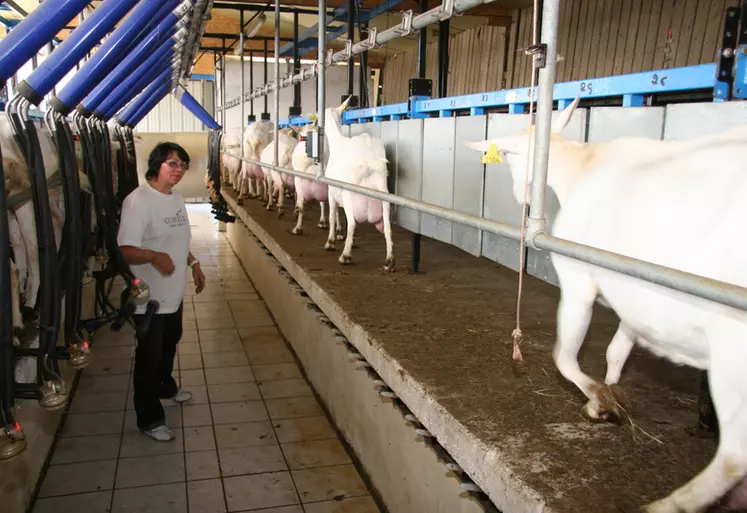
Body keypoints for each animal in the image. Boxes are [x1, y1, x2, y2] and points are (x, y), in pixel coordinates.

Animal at [322, 97, 394, 272]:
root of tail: (368, 160)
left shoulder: (331, 190)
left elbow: (333, 215)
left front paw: (331, 241)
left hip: (349, 192)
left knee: (353, 223)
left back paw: (345, 256)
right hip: (384, 193)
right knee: (388, 227)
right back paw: (389, 260)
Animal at [464, 94, 747, 510]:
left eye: (511, 155)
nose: (520, 196)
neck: (582, 168)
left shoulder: (578, 280)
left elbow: (564, 357)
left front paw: (600, 400)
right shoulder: (634, 290)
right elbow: (617, 351)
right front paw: (611, 394)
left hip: (732, 350)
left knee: (734, 454)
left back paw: (668, 504)